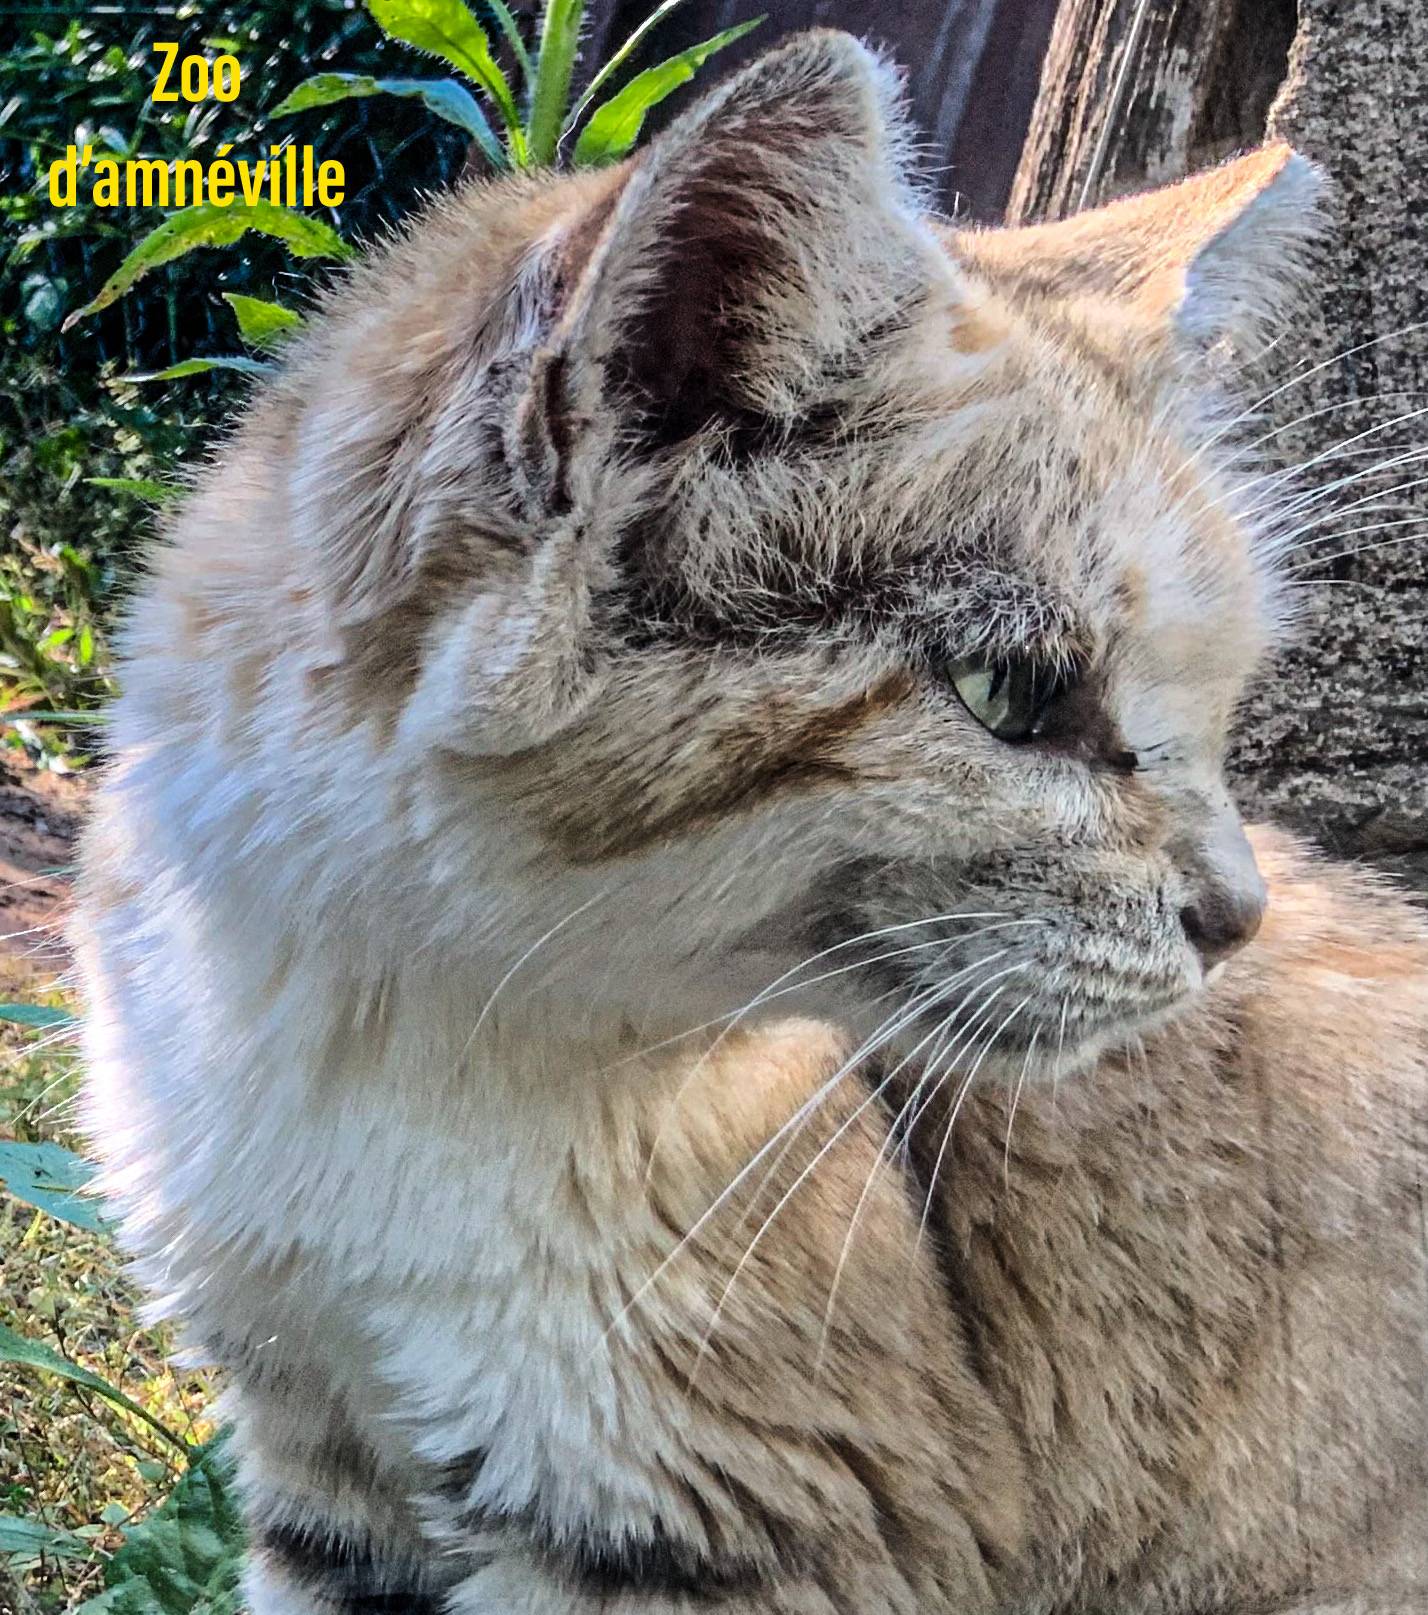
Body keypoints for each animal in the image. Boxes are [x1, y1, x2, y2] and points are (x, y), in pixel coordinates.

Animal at [75, 29, 1428, 1615]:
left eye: (1214, 709)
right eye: (1013, 693)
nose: (1238, 914)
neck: (368, 1035)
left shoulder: (726, 1521)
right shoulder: (327, 1465)